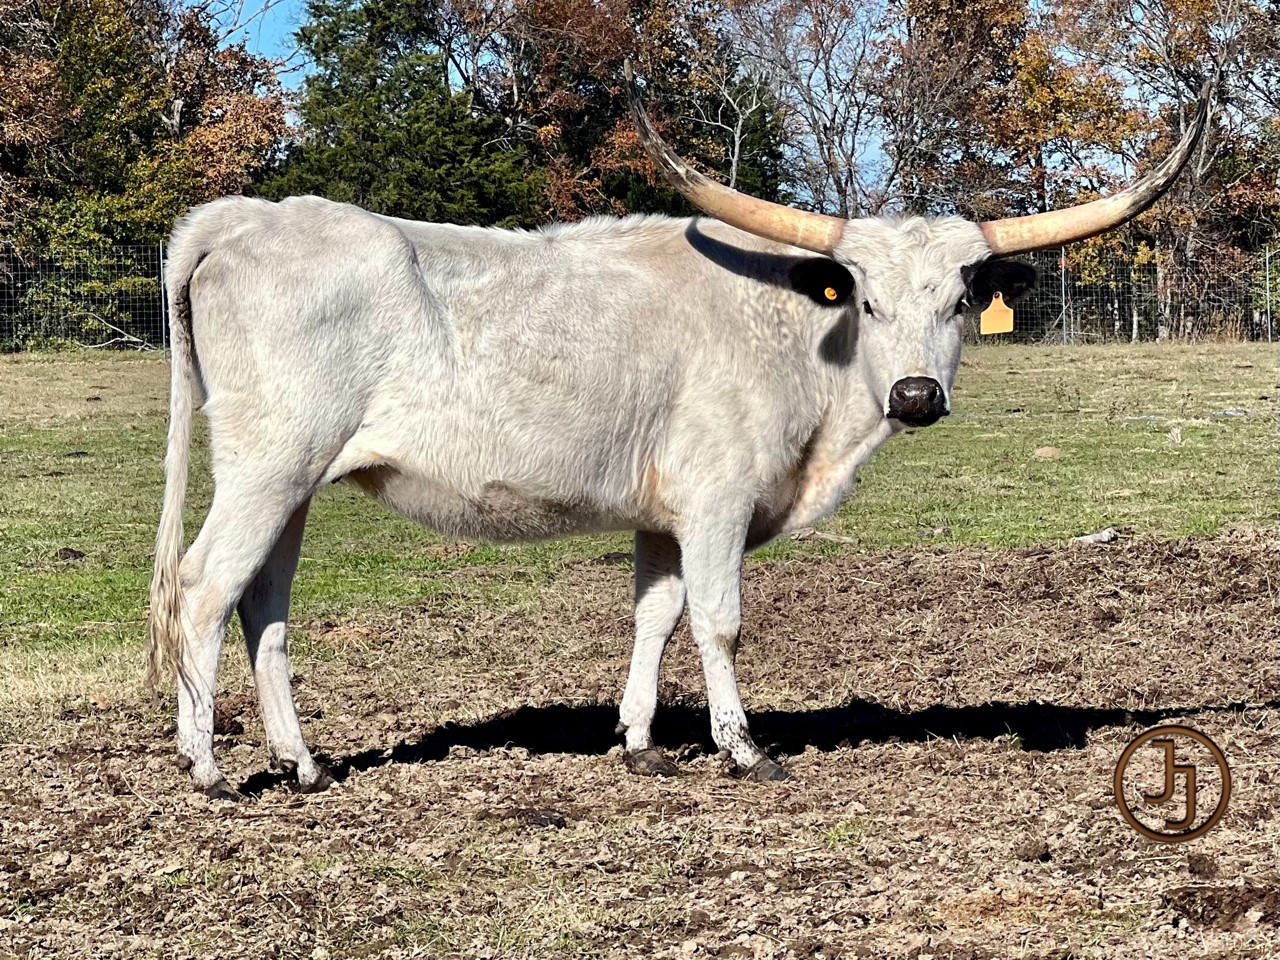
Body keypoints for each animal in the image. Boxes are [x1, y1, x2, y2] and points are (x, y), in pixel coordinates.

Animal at [147, 66, 1210, 799]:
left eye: (960, 299)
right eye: (864, 298)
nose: (914, 394)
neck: (794, 337)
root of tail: (246, 218)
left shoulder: (659, 514)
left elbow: (654, 616)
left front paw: (639, 740)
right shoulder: (717, 499)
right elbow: (718, 618)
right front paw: (742, 747)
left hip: (295, 478)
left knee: (263, 607)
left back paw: (302, 762)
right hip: (267, 463)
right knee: (202, 588)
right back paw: (208, 767)